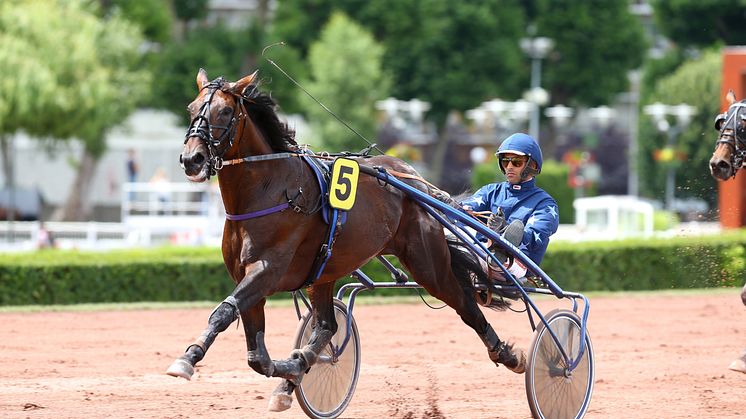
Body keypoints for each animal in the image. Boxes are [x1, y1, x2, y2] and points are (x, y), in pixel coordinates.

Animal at [167, 69, 524, 410]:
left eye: (226, 111)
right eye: (192, 108)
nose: (192, 159)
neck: (272, 190)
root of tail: (415, 179)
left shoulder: (266, 271)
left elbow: (224, 312)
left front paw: (186, 359)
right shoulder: (248, 277)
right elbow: (257, 356)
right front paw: (291, 369)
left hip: (427, 264)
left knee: (466, 306)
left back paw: (508, 355)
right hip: (325, 271)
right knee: (327, 326)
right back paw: (295, 374)